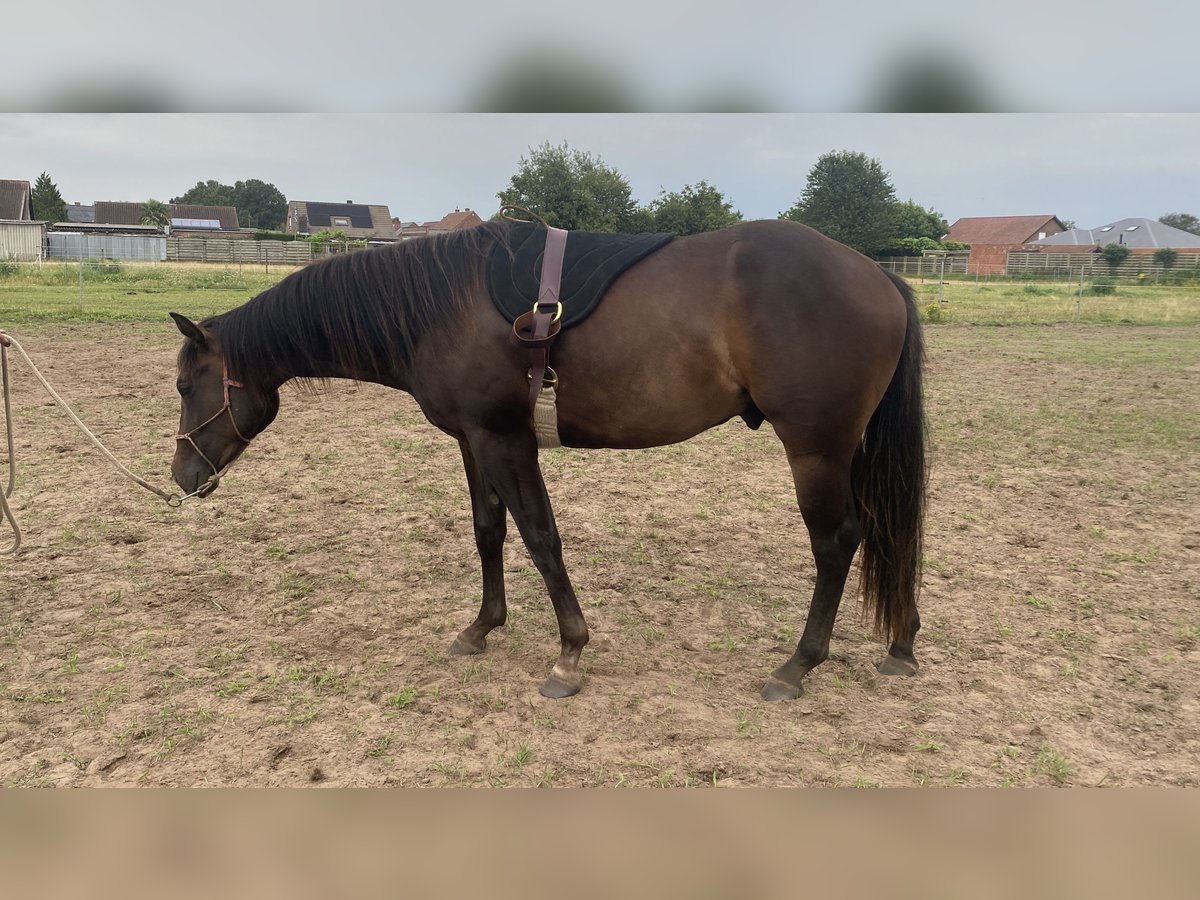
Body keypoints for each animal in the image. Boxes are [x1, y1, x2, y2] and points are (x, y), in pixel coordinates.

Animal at [169, 214, 921, 700]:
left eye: (183, 386)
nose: (182, 475)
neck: (442, 306)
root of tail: (879, 276)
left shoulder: (506, 438)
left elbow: (540, 537)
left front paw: (569, 655)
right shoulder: (473, 439)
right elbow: (489, 533)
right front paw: (481, 628)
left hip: (816, 449)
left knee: (837, 543)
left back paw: (798, 666)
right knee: (887, 532)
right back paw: (901, 645)